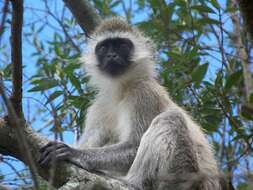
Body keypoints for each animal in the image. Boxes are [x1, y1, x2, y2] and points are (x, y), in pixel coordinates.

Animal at [39, 17, 221, 189]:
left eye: (122, 46)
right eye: (103, 48)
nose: (112, 56)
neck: (120, 91)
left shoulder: (144, 93)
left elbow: (134, 145)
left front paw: (75, 153)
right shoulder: (99, 106)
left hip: (185, 175)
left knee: (171, 119)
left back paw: (134, 183)